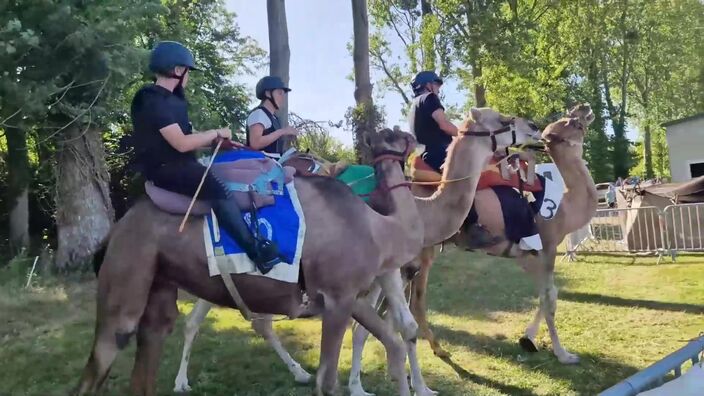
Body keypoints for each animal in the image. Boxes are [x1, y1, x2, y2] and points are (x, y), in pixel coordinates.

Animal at [73, 129, 424, 396]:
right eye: (398, 137)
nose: (418, 140)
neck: (378, 227)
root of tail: (117, 228)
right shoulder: (338, 296)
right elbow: (327, 381)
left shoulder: (350, 296)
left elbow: (393, 340)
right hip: (127, 271)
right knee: (102, 356)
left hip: (159, 284)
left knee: (152, 344)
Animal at [404, 103, 596, 376]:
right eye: (573, 123)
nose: (584, 107)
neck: (565, 206)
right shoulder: (547, 246)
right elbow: (549, 299)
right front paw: (564, 354)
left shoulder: (527, 254)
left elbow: (549, 295)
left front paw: (527, 339)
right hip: (422, 253)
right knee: (415, 303)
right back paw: (438, 351)